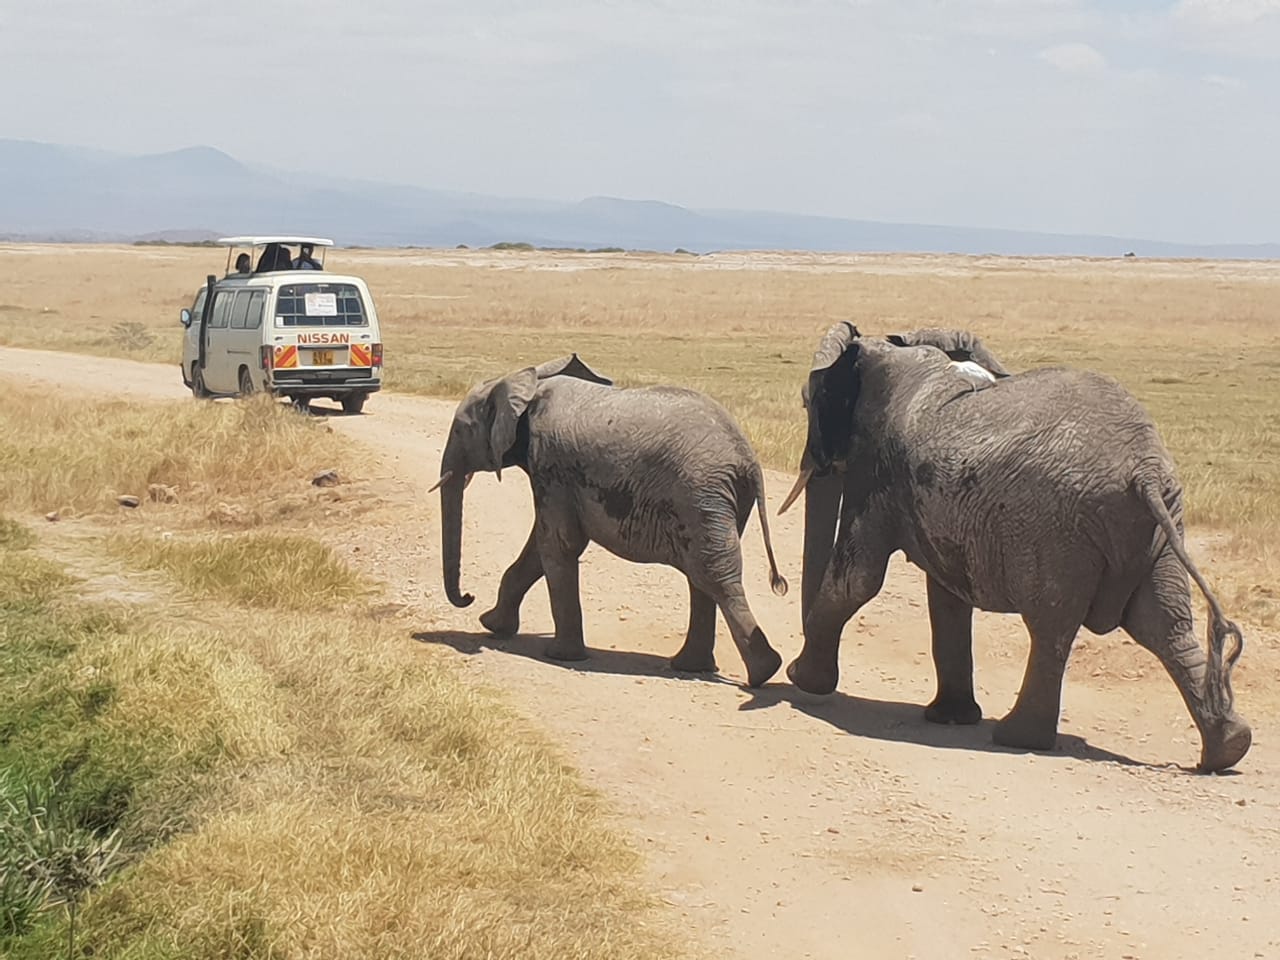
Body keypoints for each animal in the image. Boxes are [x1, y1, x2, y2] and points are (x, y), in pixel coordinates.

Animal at [435, 358, 783, 686]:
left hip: (700, 495)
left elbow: (557, 544)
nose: (467, 597)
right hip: (717, 501)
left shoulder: (550, 463)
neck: (529, 384)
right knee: (702, 576)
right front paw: (492, 625)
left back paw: (762, 672)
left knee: (713, 575)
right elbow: (540, 547)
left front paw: (560, 656)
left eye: (459, 430)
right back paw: (699, 667)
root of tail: (748, 460)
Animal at [778, 323, 1249, 773]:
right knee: (1164, 625)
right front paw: (951, 718)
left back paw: (1016, 737)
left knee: (1052, 627)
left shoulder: (876, 467)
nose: (790, 665)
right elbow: (946, 596)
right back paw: (1228, 749)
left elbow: (857, 579)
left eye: (808, 402)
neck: (896, 341)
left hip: (1059, 531)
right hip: (1156, 528)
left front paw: (803, 679)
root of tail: (1144, 470)